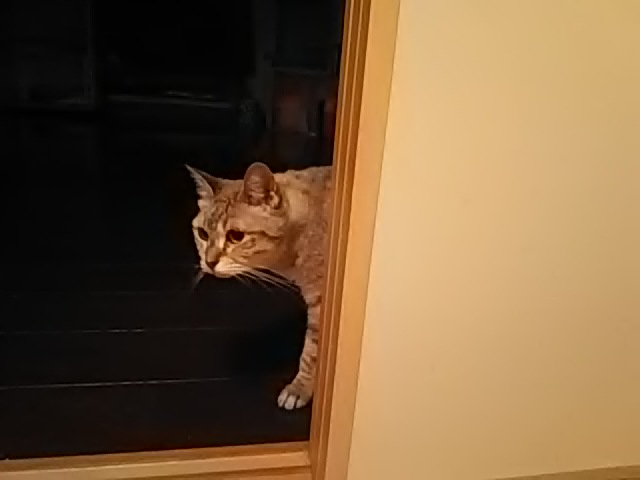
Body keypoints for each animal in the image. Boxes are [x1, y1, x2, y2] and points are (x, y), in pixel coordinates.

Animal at [187, 162, 331, 410]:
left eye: (236, 236)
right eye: (203, 234)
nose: (209, 262)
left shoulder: (322, 305)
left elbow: (310, 353)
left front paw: (298, 389)